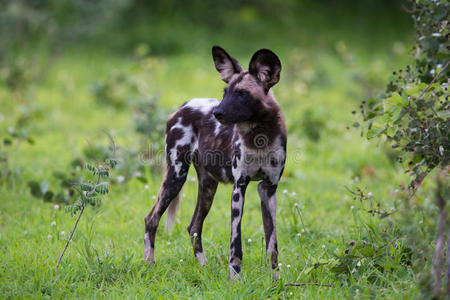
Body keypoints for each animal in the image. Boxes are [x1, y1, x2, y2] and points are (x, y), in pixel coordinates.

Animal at [142, 45, 286, 280]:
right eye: (224, 93)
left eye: (242, 94)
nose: (217, 113)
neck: (260, 136)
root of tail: (184, 105)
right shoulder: (239, 187)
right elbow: (236, 244)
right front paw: (235, 279)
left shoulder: (269, 189)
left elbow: (272, 244)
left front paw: (275, 280)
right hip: (176, 176)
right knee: (151, 218)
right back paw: (149, 264)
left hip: (208, 185)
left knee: (193, 226)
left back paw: (205, 269)